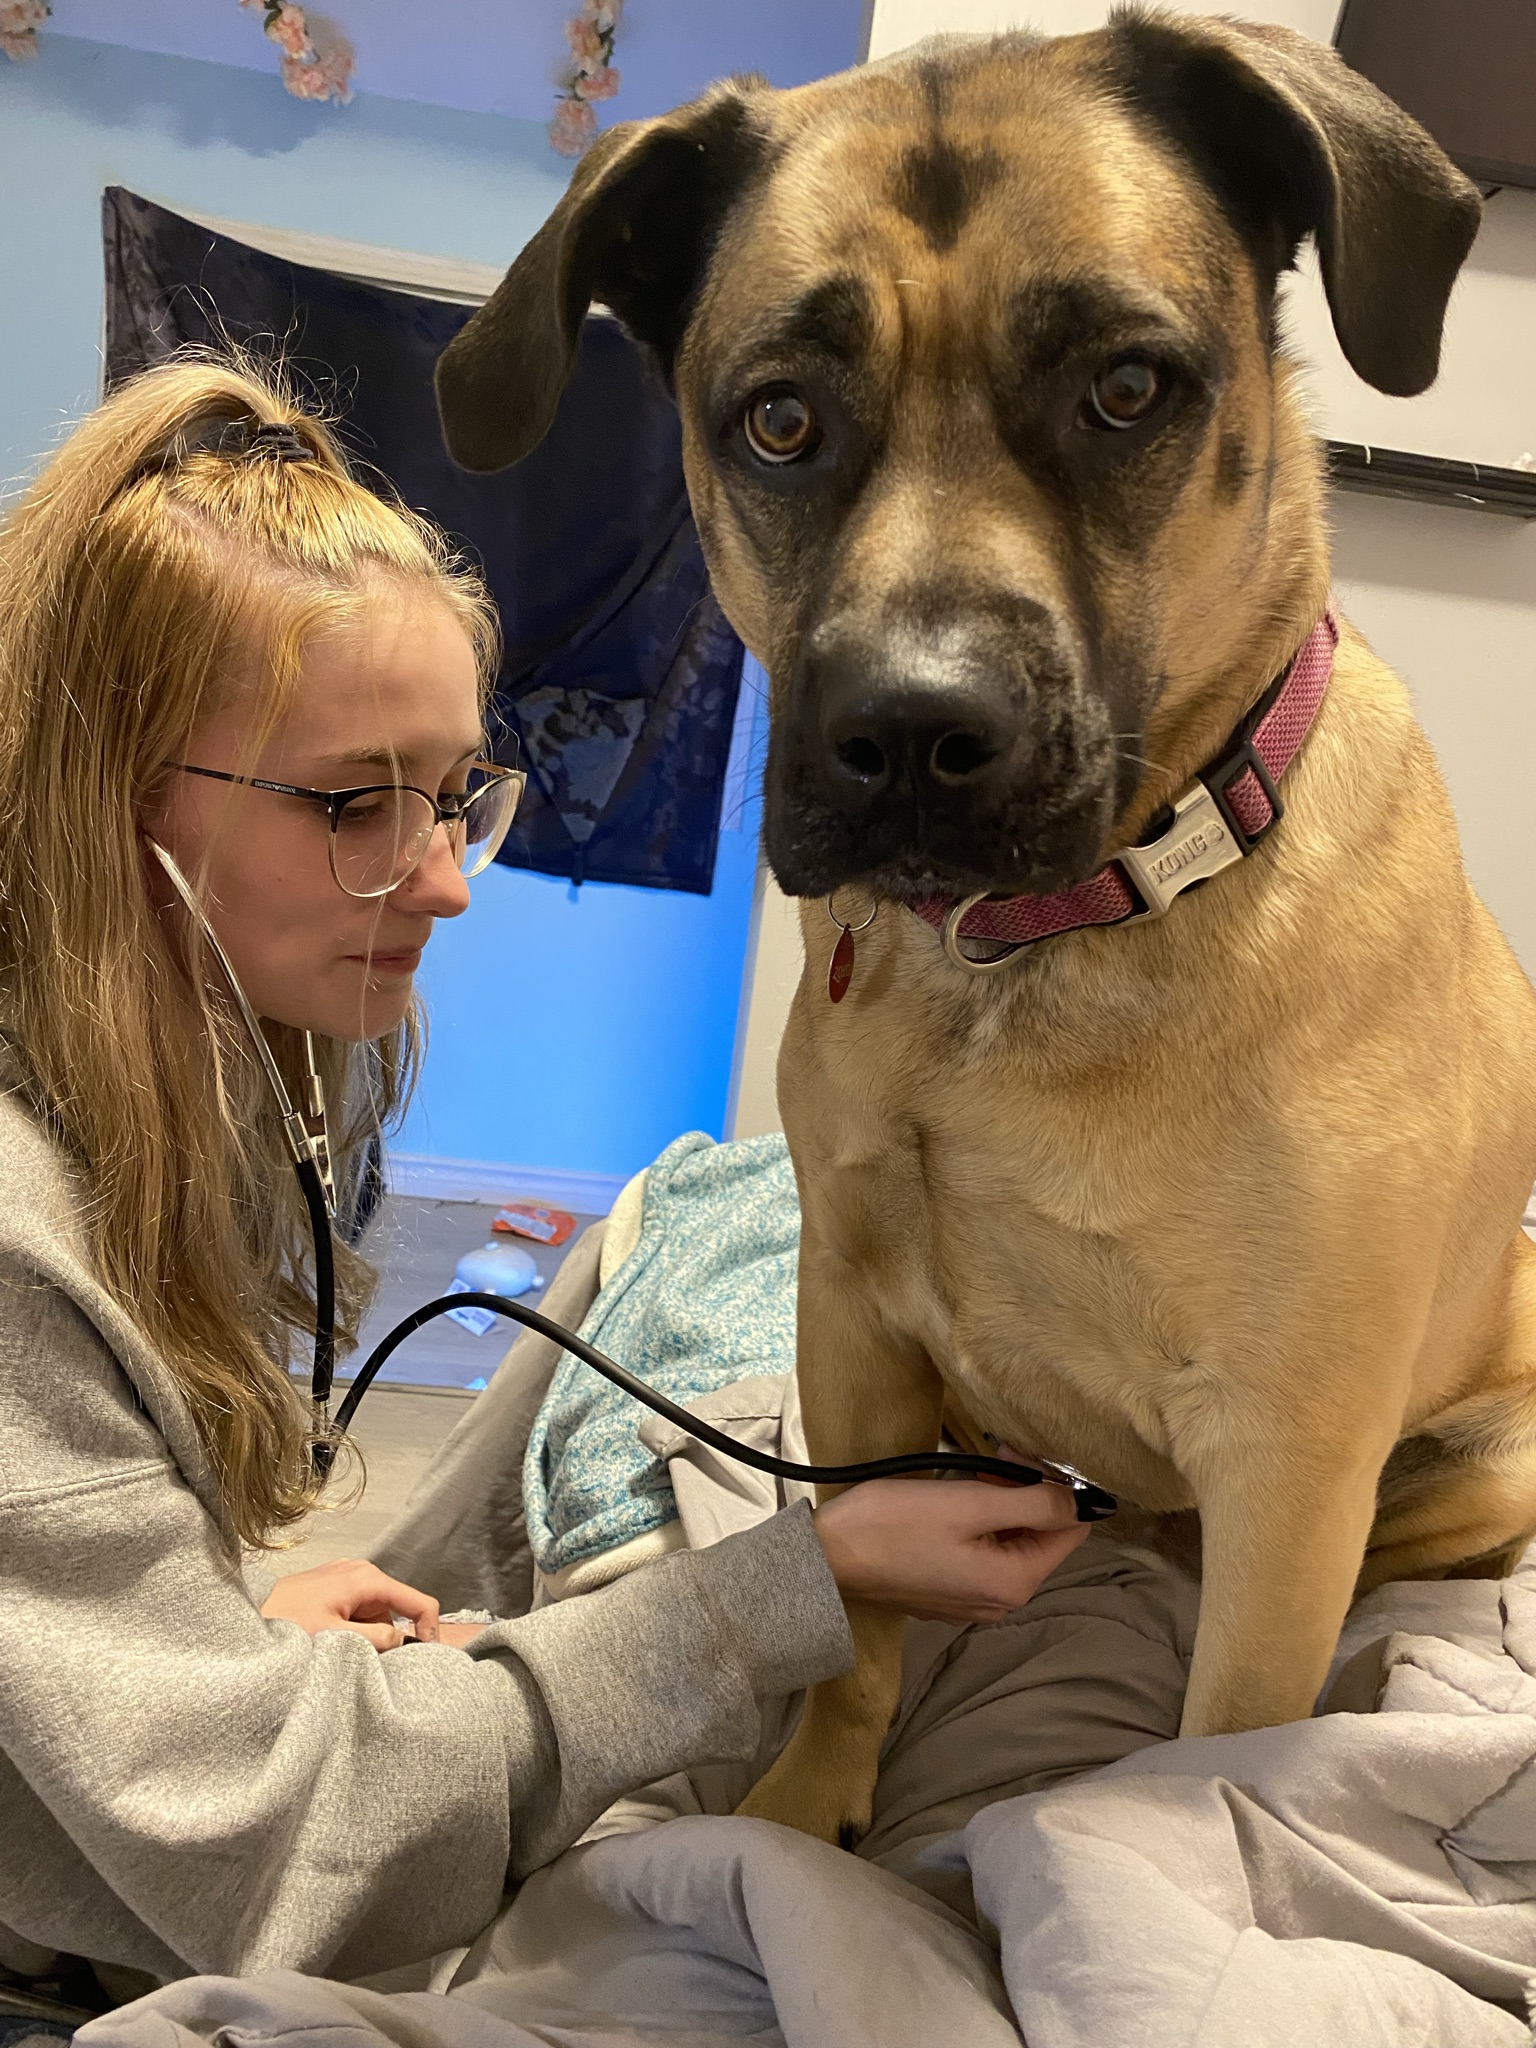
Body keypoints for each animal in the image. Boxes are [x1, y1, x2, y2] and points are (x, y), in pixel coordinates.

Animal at [436, 9, 1536, 1847]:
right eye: (779, 420)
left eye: (1128, 389)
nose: (910, 733)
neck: (1025, 955)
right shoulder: (855, 1334)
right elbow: (858, 1615)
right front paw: (807, 1800)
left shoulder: (1289, 1465)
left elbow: (1215, 1745)